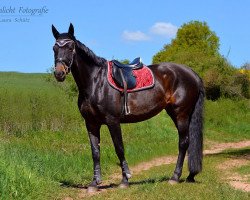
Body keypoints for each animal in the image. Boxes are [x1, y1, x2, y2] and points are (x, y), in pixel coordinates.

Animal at [51, 23, 204, 192]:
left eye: (71, 47)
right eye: (54, 48)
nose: (59, 73)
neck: (95, 82)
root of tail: (192, 73)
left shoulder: (112, 121)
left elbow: (119, 148)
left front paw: (125, 180)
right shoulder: (91, 123)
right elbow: (95, 151)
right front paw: (94, 184)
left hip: (181, 113)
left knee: (183, 142)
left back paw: (175, 177)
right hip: (175, 113)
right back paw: (189, 175)